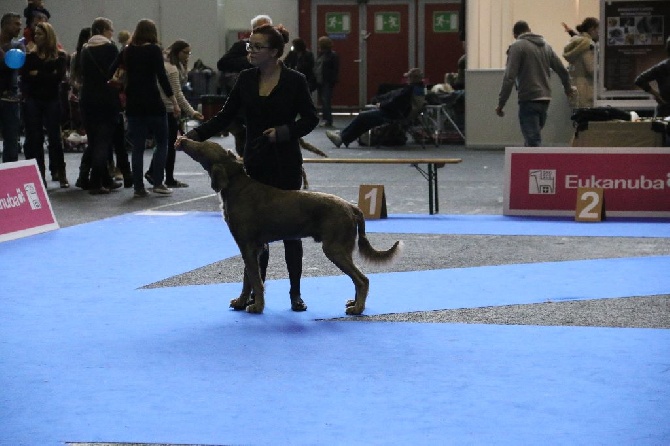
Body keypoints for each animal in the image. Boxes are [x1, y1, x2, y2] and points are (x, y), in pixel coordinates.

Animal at [176, 138, 402, 316]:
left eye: (201, 146)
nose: (183, 140)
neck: (235, 185)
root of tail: (352, 207)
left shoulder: (247, 245)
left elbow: (255, 280)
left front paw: (256, 307)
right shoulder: (255, 247)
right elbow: (247, 278)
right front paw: (240, 303)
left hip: (334, 248)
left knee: (362, 279)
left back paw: (357, 309)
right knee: (358, 279)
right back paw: (353, 303)